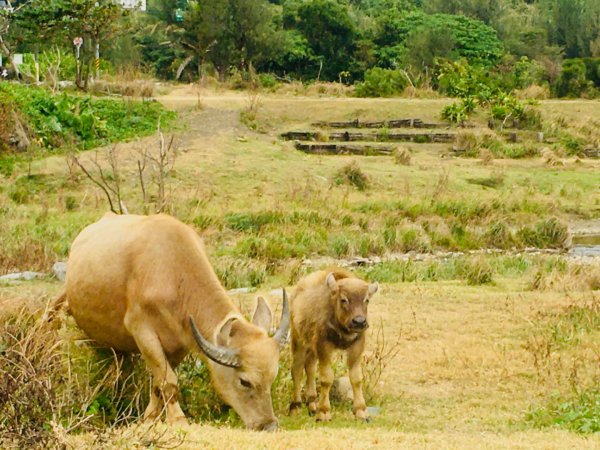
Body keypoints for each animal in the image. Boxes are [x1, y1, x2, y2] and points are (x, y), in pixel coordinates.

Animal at [59, 213, 290, 430]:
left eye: (273, 377)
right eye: (245, 381)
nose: (268, 425)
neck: (172, 275)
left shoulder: (180, 344)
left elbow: (158, 382)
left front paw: (149, 418)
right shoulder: (143, 333)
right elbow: (168, 381)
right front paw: (178, 420)